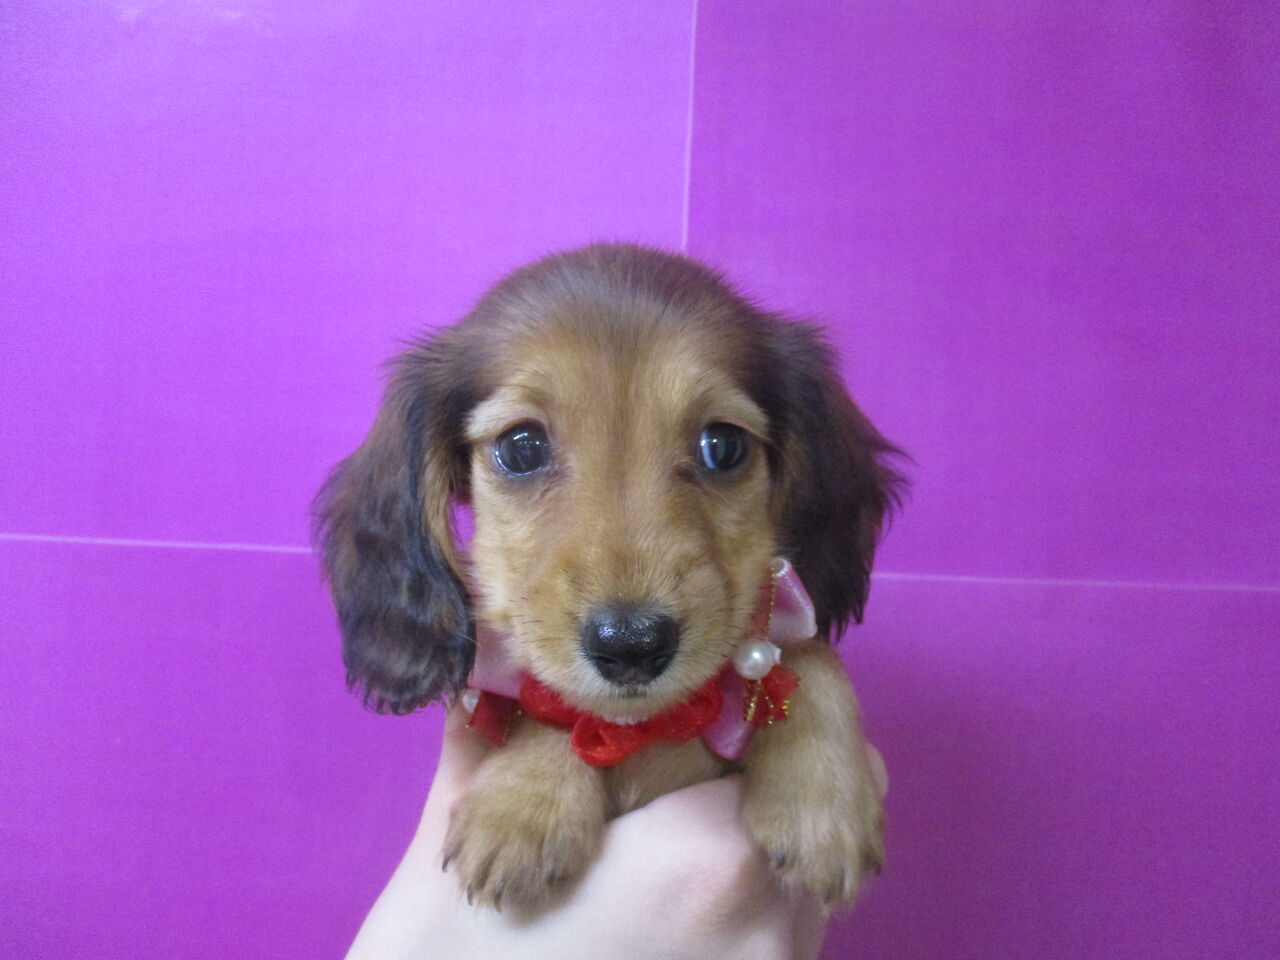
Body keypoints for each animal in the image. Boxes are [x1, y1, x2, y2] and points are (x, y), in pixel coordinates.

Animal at [315, 243, 903, 911]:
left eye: (723, 445)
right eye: (522, 446)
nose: (632, 646)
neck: (642, 731)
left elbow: (803, 653)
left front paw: (822, 798)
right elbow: (548, 703)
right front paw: (524, 802)